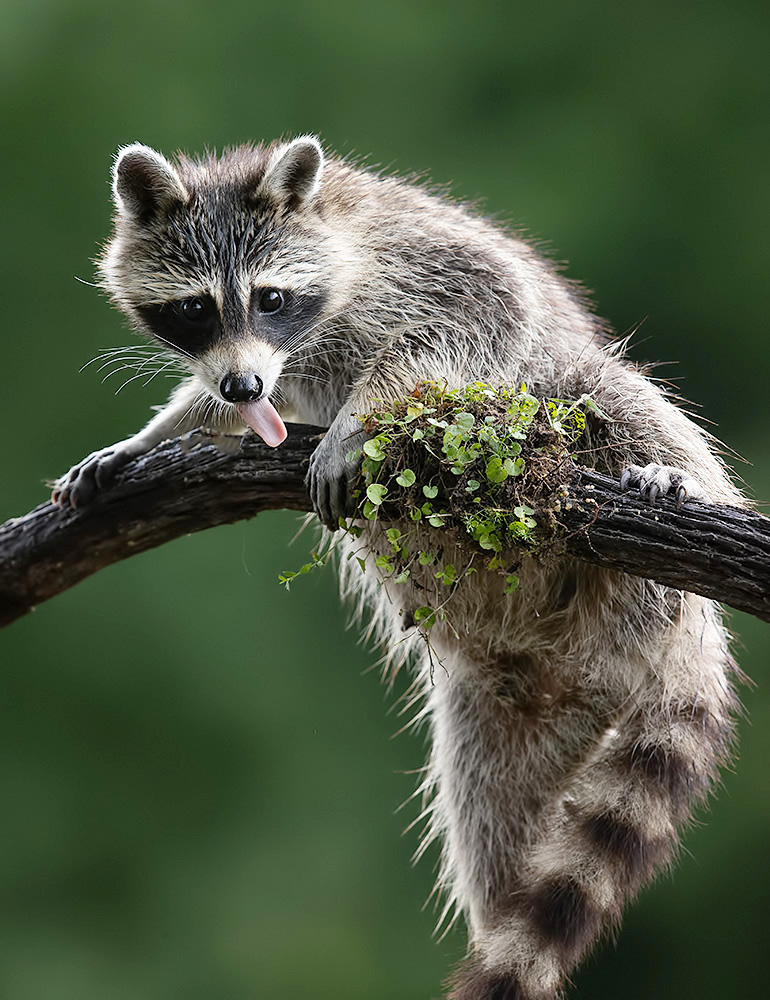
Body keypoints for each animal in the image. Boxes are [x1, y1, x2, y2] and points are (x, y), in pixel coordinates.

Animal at [53, 136, 744, 999]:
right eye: (194, 309)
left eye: (270, 298)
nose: (244, 383)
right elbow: (217, 403)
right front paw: (157, 431)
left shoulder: (414, 263)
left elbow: (475, 311)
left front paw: (356, 418)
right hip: (513, 722)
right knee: (498, 837)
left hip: (598, 484)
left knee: (603, 384)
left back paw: (673, 474)